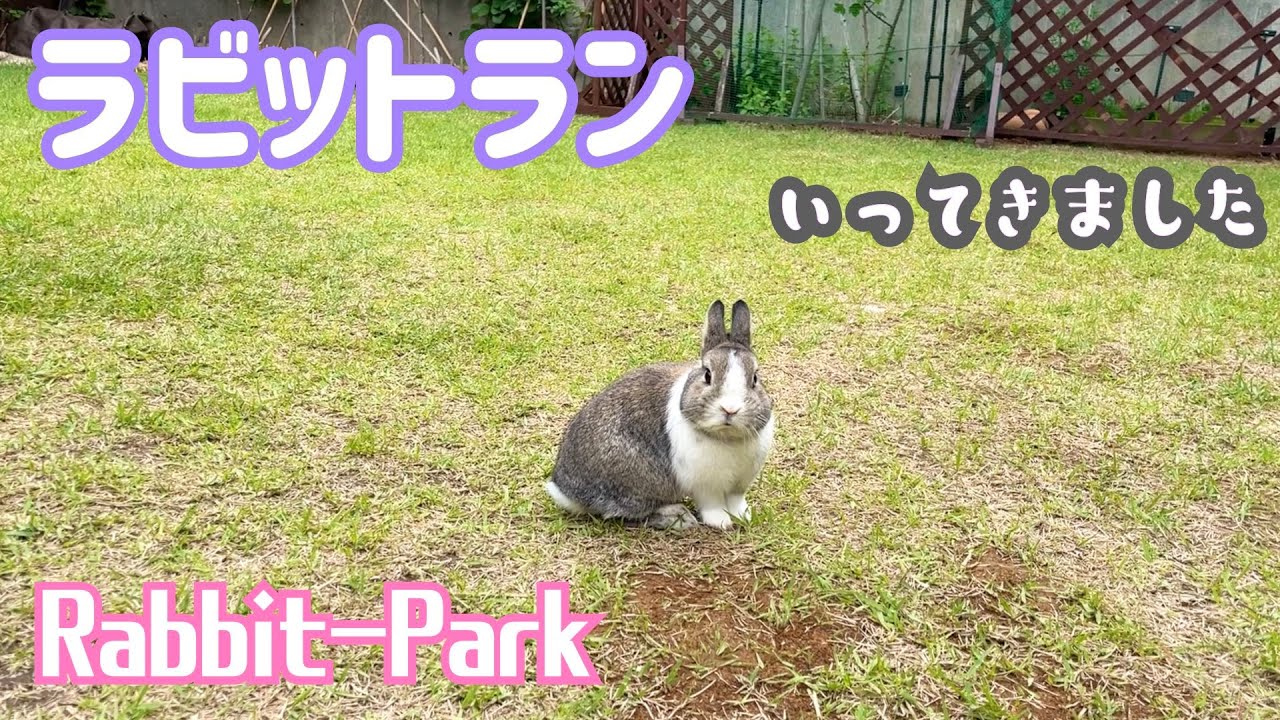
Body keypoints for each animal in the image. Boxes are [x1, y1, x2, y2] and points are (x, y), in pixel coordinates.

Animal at [545, 300, 775, 530]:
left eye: (755, 379)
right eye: (708, 375)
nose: (730, 409)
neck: (726, 437)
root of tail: (564, 490)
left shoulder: (740, 483)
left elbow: (736, 501)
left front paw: (743, 517)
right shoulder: (705, 486)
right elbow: (712, 505)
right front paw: (721, 523)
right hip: (639, 482)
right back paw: (679, 517)